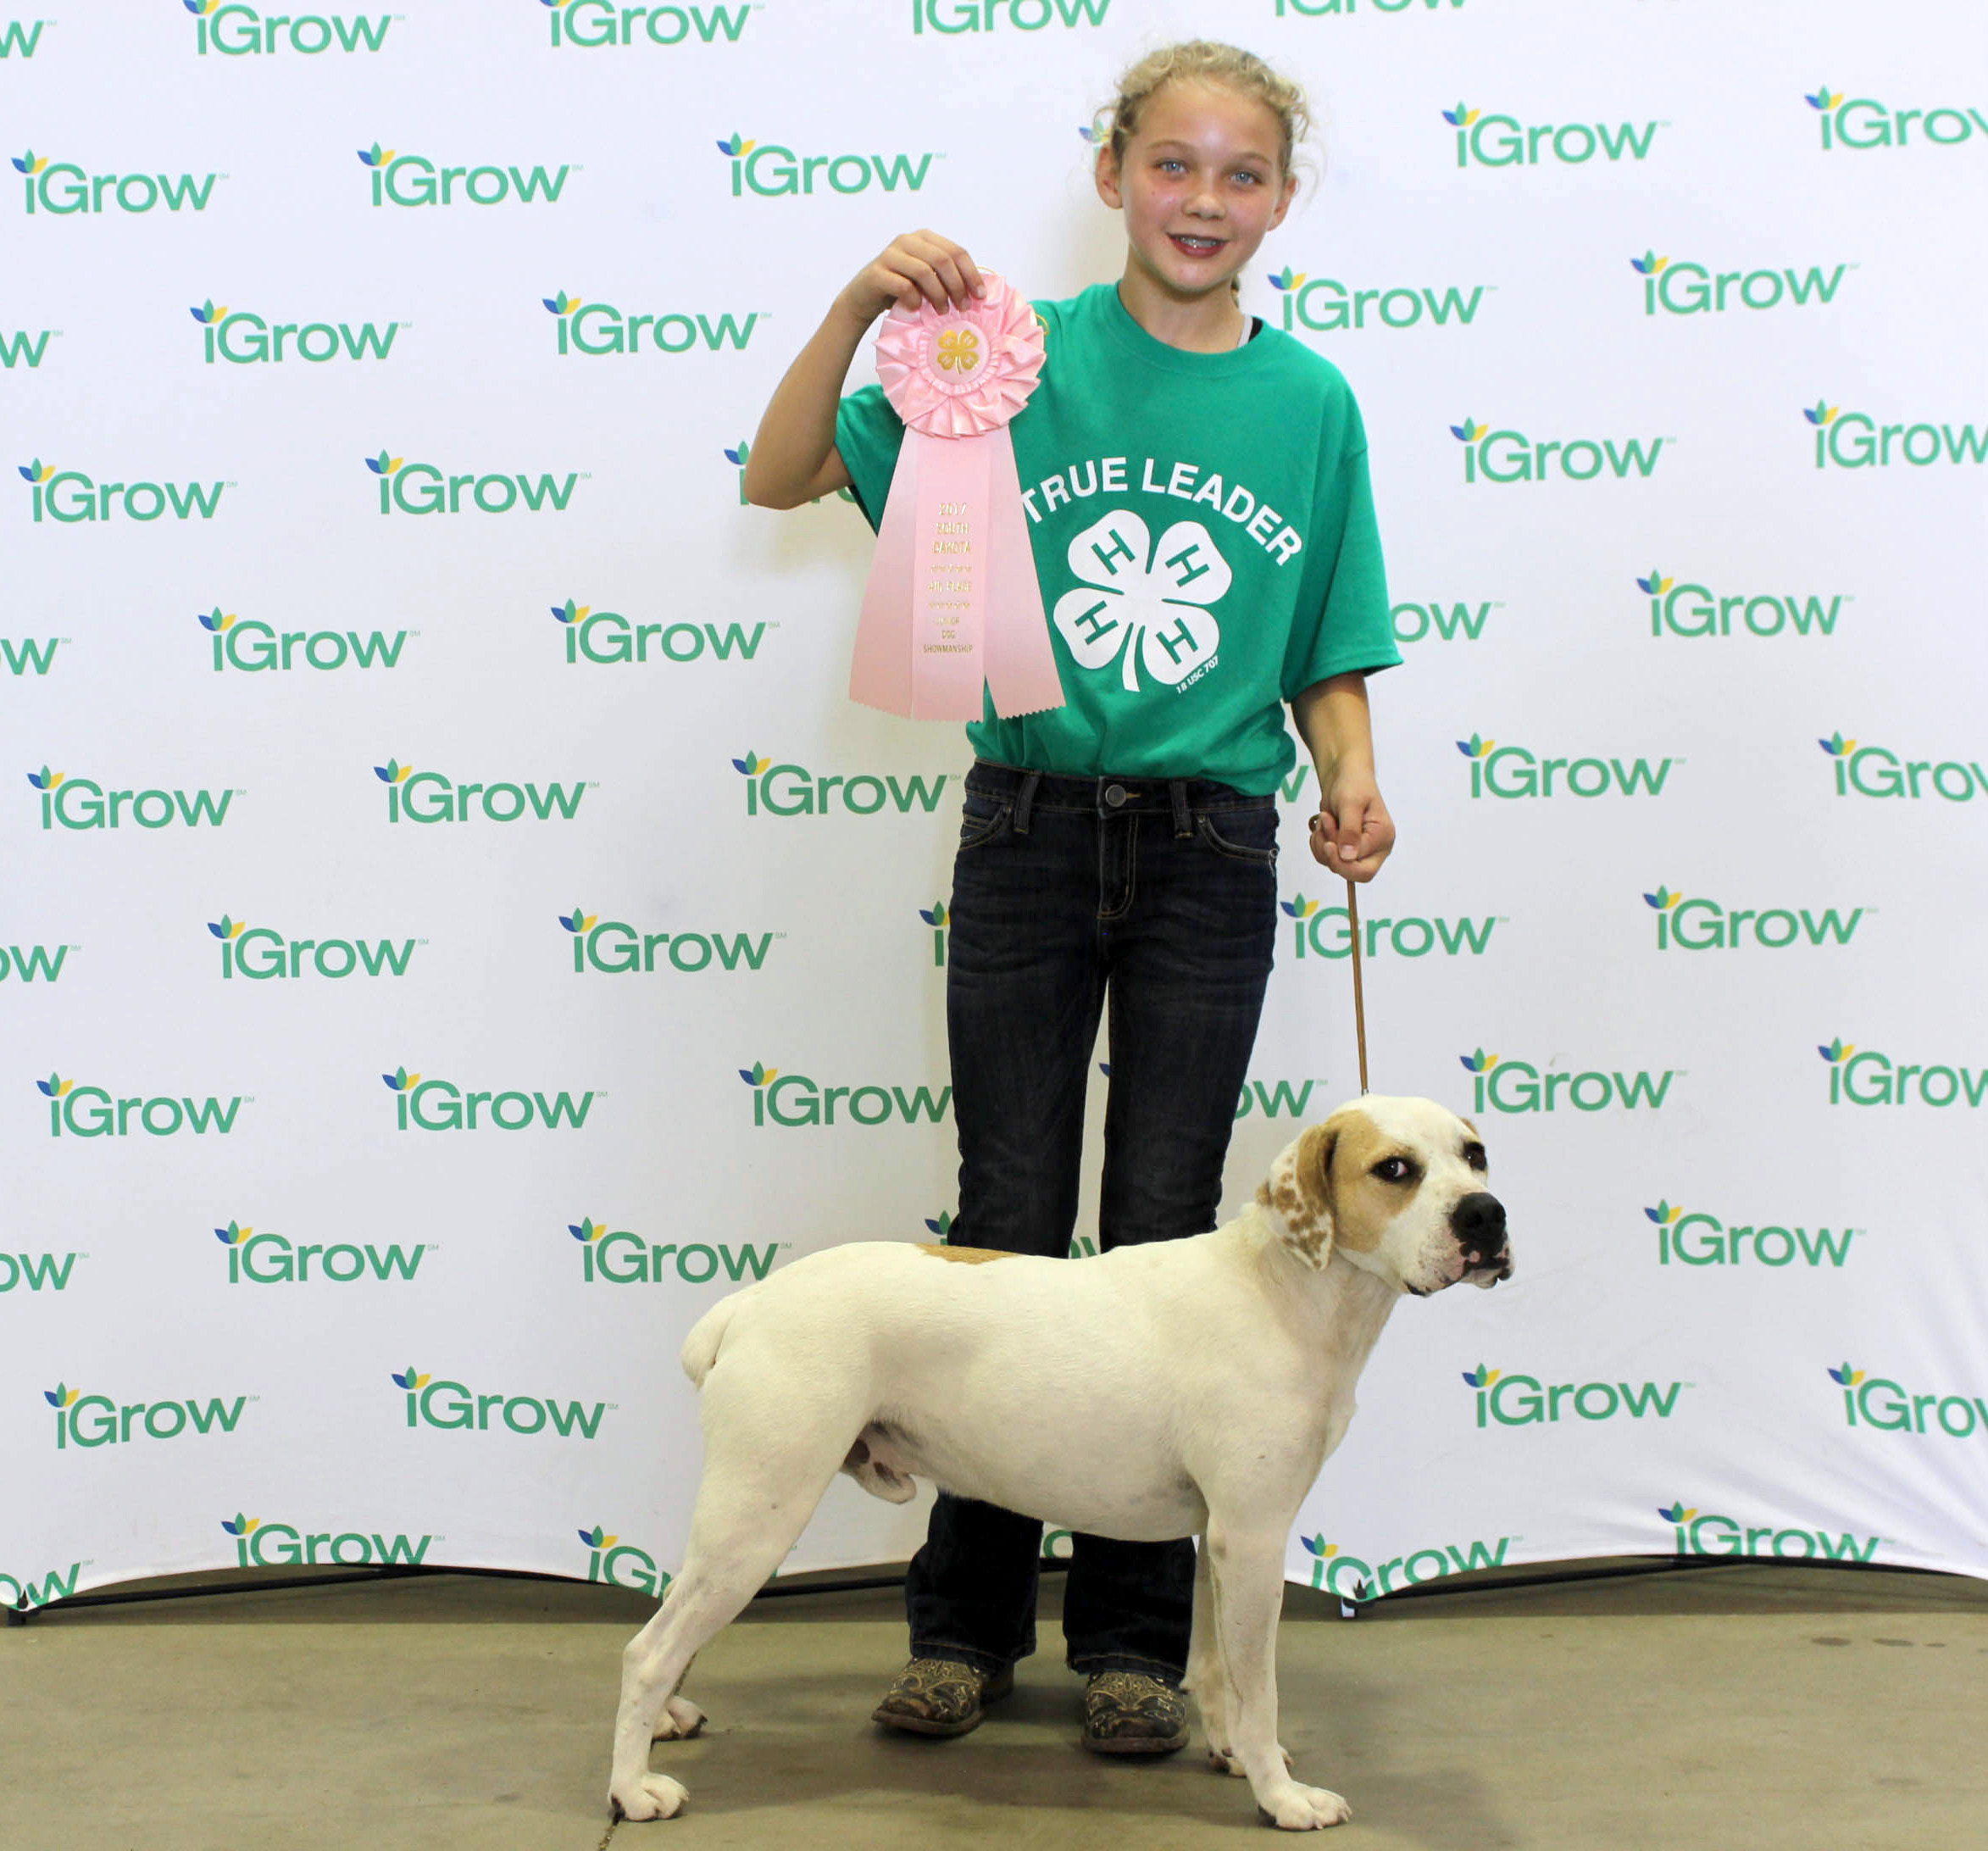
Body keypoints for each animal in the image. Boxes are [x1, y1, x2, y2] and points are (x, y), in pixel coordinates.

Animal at [604, 1089, 1502, 1829]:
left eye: (1476, 1154)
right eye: (1395, 1169)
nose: (1486, 1217)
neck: (1285, 1288)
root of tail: (747, 1303)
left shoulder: (1223, 1538)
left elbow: (1219, 1672)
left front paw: (1235, 1755)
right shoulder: (1254, 1537)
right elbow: (1262, 1689)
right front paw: (1282, 1799)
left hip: (743, 1519)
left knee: (672, 1628)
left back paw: (671, 1720)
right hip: (761, 1512)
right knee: (646, 1650)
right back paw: (633, 1789)